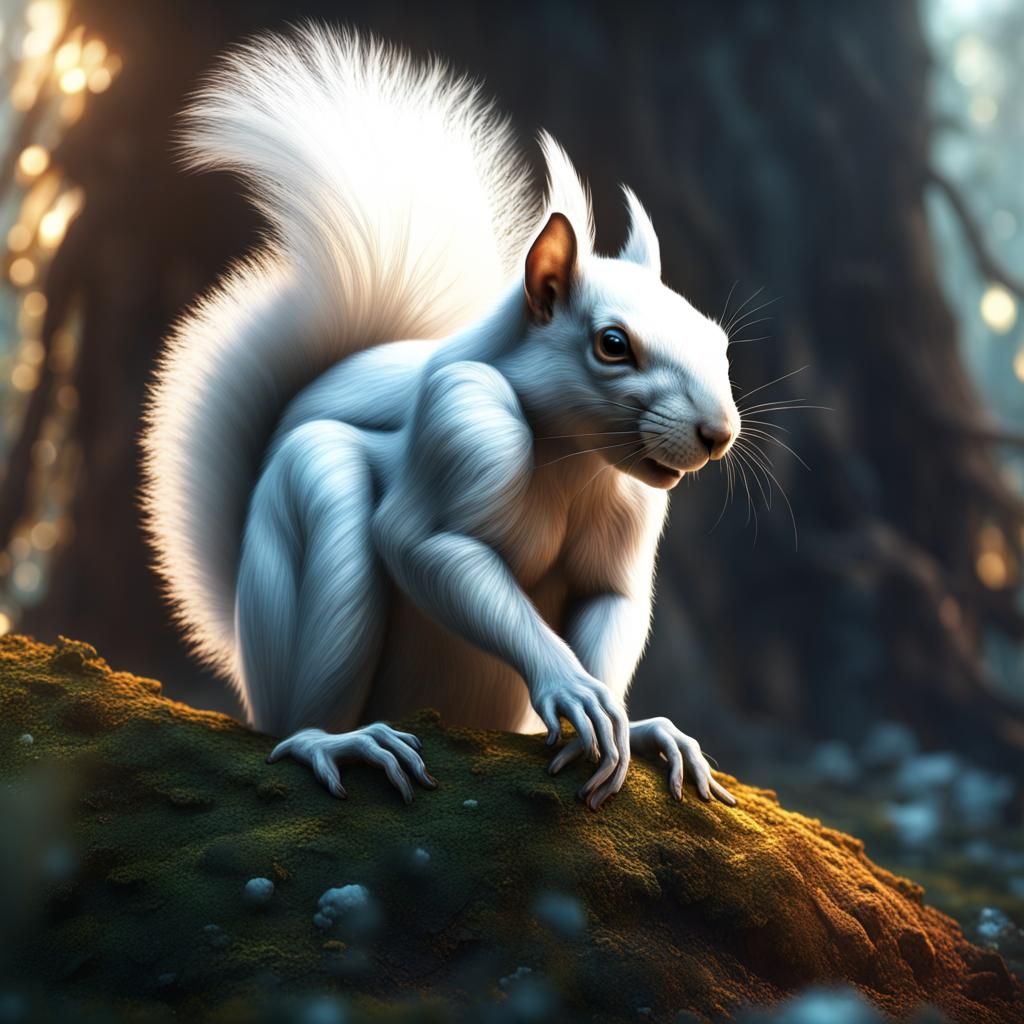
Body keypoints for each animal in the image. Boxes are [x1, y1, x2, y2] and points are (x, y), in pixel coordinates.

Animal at [141, 26, 739, 810]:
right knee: (290, 724)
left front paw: (630, 725)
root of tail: (247, 653)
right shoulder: (464, 419)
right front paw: (570, 685)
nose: (718, 435)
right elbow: (426, 543)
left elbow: (612, 598)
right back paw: (338, 740)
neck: (574, 457)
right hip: (313, 517)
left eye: (718, 341)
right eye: (613, 344)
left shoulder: (632, 515)